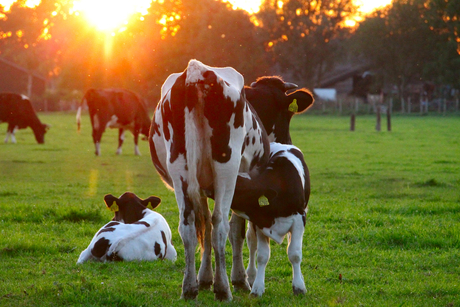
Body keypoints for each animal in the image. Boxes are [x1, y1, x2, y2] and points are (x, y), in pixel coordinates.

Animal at [149, 59, 272, 300]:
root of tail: (195, 71)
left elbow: (203, 223)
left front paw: (204, 279)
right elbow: (236, 229)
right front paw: (240, 279)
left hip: (180, 168)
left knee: (188, 225)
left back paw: (189, 288)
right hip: (226, 169)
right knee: (220, 224)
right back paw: (223, 289)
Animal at [232, 143, 310, 298]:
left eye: (237, 187)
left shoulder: (299, 219)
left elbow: (294, 253)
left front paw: (299, 286)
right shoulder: (259, 222)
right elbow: (262, 255)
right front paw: (257, 288)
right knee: (252, 244)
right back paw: (251, 276)